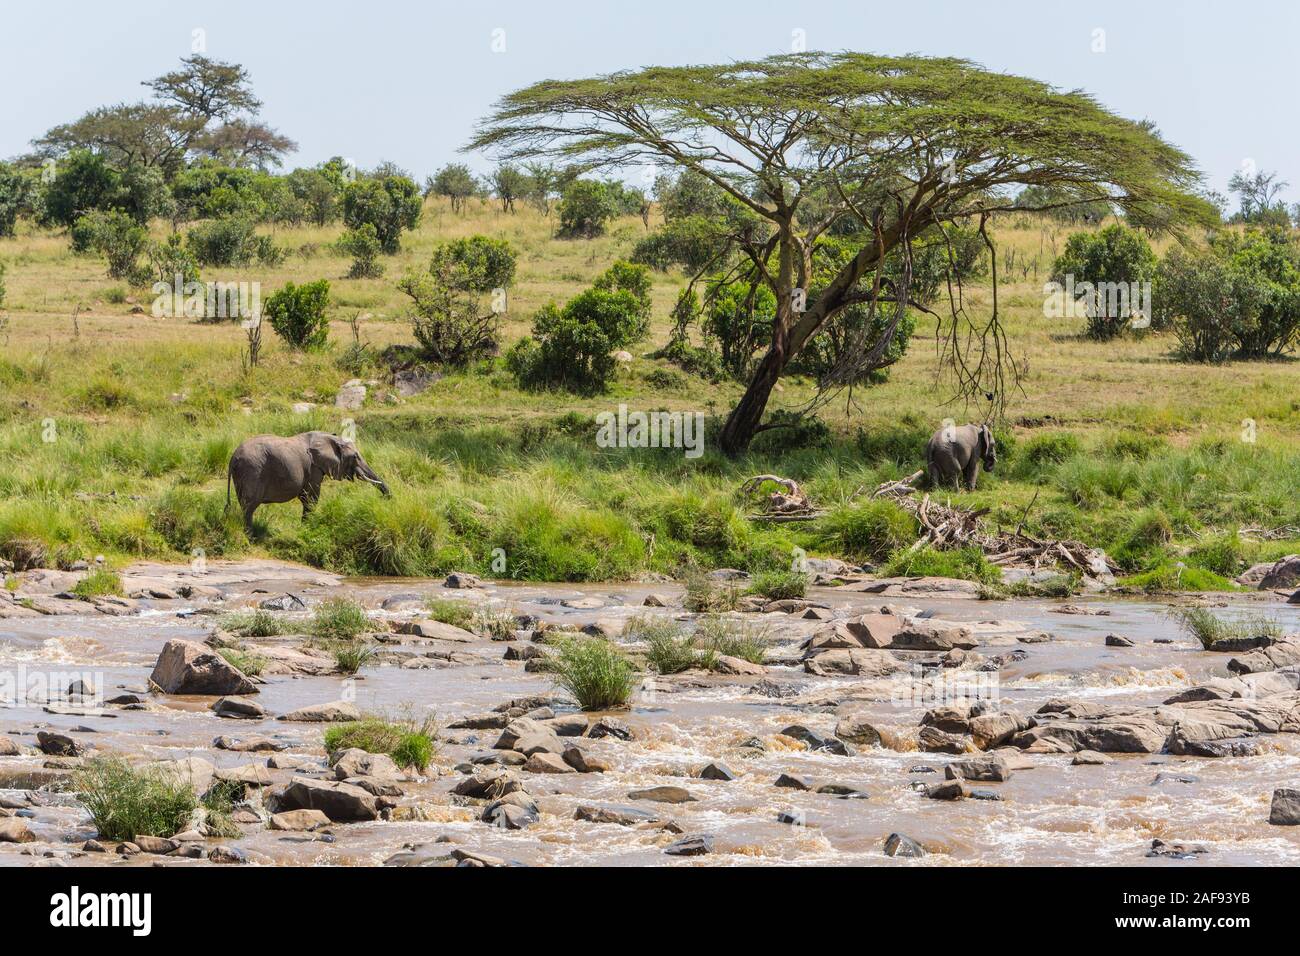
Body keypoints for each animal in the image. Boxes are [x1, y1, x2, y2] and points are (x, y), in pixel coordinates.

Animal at [226, 431, 387, 535]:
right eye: (355, 457)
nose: (385, 499)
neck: (328, 437)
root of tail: (233, 457)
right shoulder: (314, 467)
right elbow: (311, 498)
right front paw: (306, 530)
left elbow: (306, 498)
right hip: (253, 470)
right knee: (249, 506)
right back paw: (249, 536)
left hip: (243, 474)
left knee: (244, 504)